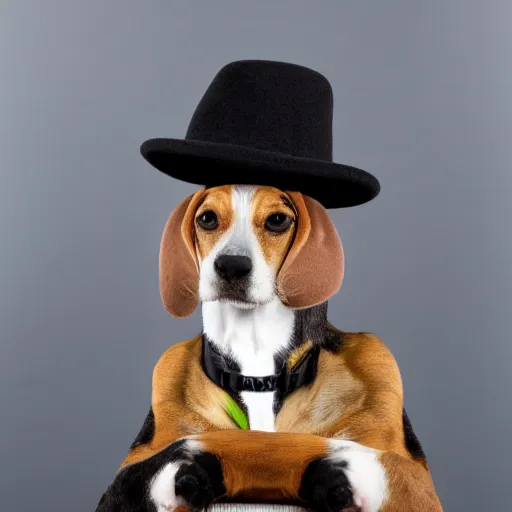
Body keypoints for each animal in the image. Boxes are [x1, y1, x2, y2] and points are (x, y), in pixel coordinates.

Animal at [97, 186, 444, 510]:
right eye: (207, 218)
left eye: (277, 220)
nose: (231, 266)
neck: (256, 360)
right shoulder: (123, 481)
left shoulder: (416, 479)